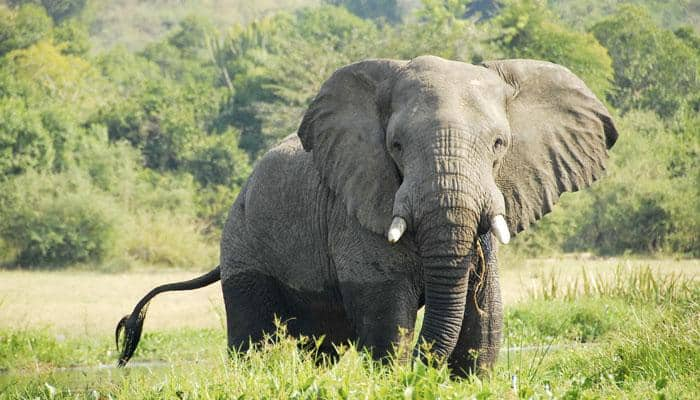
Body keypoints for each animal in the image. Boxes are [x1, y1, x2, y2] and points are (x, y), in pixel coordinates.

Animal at [116, 55, 616, 376]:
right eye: (395, 146)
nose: (425, 370)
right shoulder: (355, 212)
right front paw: (401, 377)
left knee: (322, 345)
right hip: (242, 240)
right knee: (251, 339)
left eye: (499, 145)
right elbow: (386, 318)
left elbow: (485, 321)